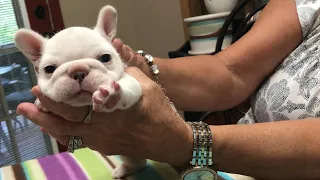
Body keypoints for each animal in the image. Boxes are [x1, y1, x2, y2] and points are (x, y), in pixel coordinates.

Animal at [13, 4, 146, 179]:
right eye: (49, 69)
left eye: (105, 58)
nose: (78, 71)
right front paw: (41, 102)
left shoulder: (132, 80)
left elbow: (127, 86)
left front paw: (111, 96)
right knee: (137, 161)